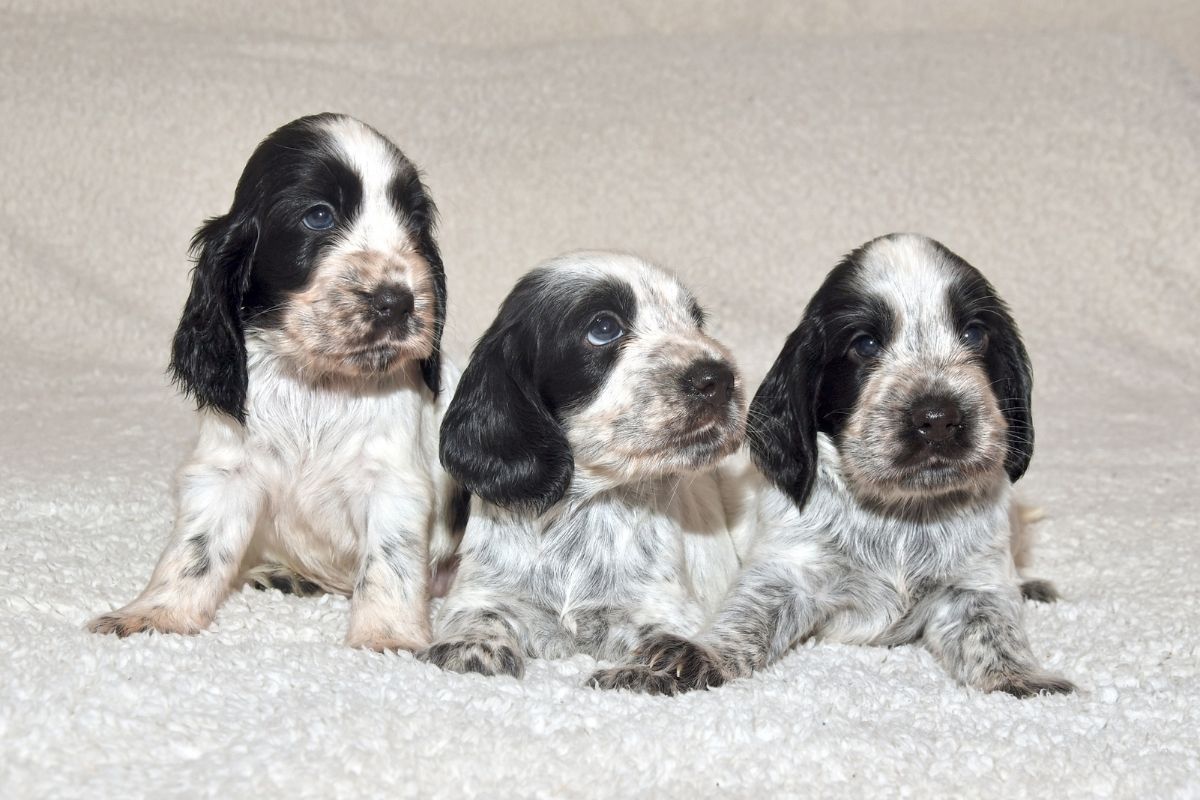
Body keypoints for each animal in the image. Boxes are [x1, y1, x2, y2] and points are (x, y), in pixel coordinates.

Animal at [88, 110, 460, 652]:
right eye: (318, 216)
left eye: (414, 223)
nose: (397, 301)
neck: (316, 384)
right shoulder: (225, 472)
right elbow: (196, 551)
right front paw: (154, 613)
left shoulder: (394, 483)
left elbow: (389, 562)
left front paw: (385, 636)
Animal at [420, 251, 739, 690]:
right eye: (603, 328)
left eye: (695, 322)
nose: (721, 379)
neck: (585, 506)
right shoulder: (479, 593)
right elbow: (478, 614)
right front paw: (473, 647)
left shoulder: (665, 607)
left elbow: (666, 635)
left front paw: (653, 667)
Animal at [624, 231, 1075, 695]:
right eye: (865, 344)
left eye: (974, 334)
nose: (938, 418)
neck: (902, 513)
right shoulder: (789, 573)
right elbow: (746, 619)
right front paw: (700, 655)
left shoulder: (974, 585)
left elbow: (993, 631)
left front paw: (1021, 677)